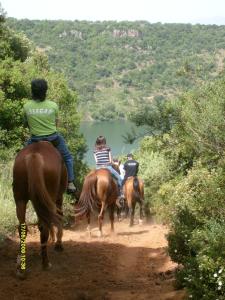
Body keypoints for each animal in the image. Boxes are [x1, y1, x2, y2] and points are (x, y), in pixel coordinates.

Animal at [12, 141, 67, 278]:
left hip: (20, 198)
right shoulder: (58, 197)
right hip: (51, 196)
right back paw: (46, 263)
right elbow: (59, 217)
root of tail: (34, 155)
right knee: (46, 225)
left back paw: (21, 268)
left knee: (23, 227)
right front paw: (58, 244)